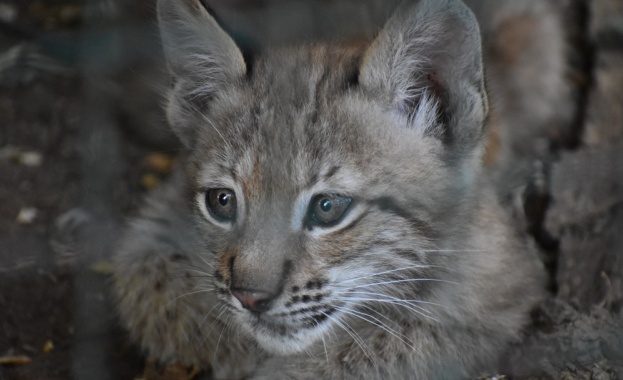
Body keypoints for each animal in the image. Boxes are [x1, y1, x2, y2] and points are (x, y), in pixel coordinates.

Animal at [113, 0, 544, 378]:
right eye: (222, 202)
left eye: (327, 207)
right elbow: (147, 286)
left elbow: (395, 344)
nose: (249, 297)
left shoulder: (498, 291)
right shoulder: (153, 227)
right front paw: (239, 351)